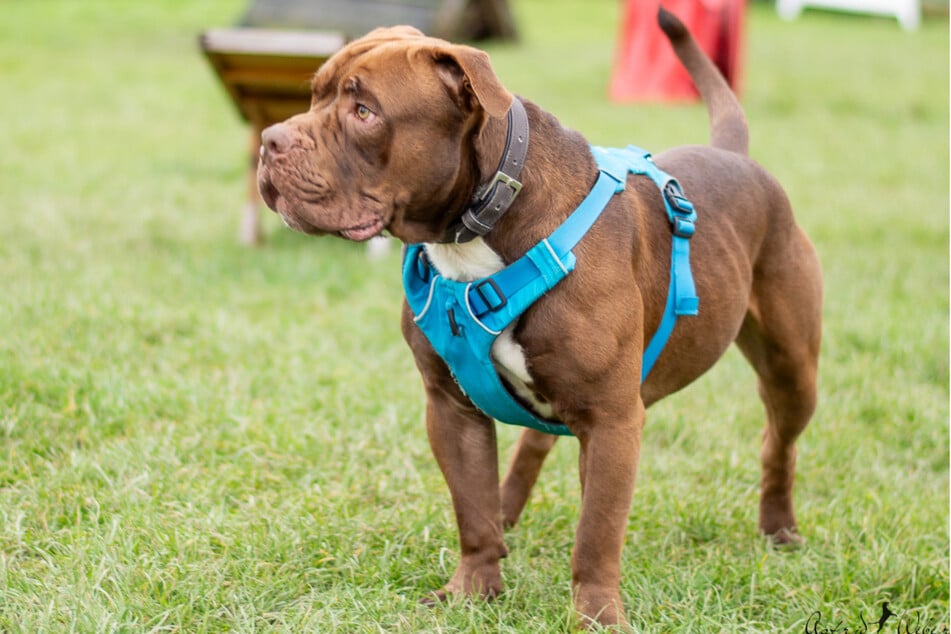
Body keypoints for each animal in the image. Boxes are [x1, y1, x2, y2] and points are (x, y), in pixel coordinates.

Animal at [256, 9, 820, 628]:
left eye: (365, 112)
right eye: (314, 95)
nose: (270, 140)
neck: (479, 227)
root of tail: (737, 157)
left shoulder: (613, 421)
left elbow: (596, 532)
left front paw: (598, 617)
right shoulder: (449, 407)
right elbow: (471, 509)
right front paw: (472, 590)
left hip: (792, 368)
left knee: (778, 443)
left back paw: (779, 529)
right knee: (534, 445)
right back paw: (508, 510)